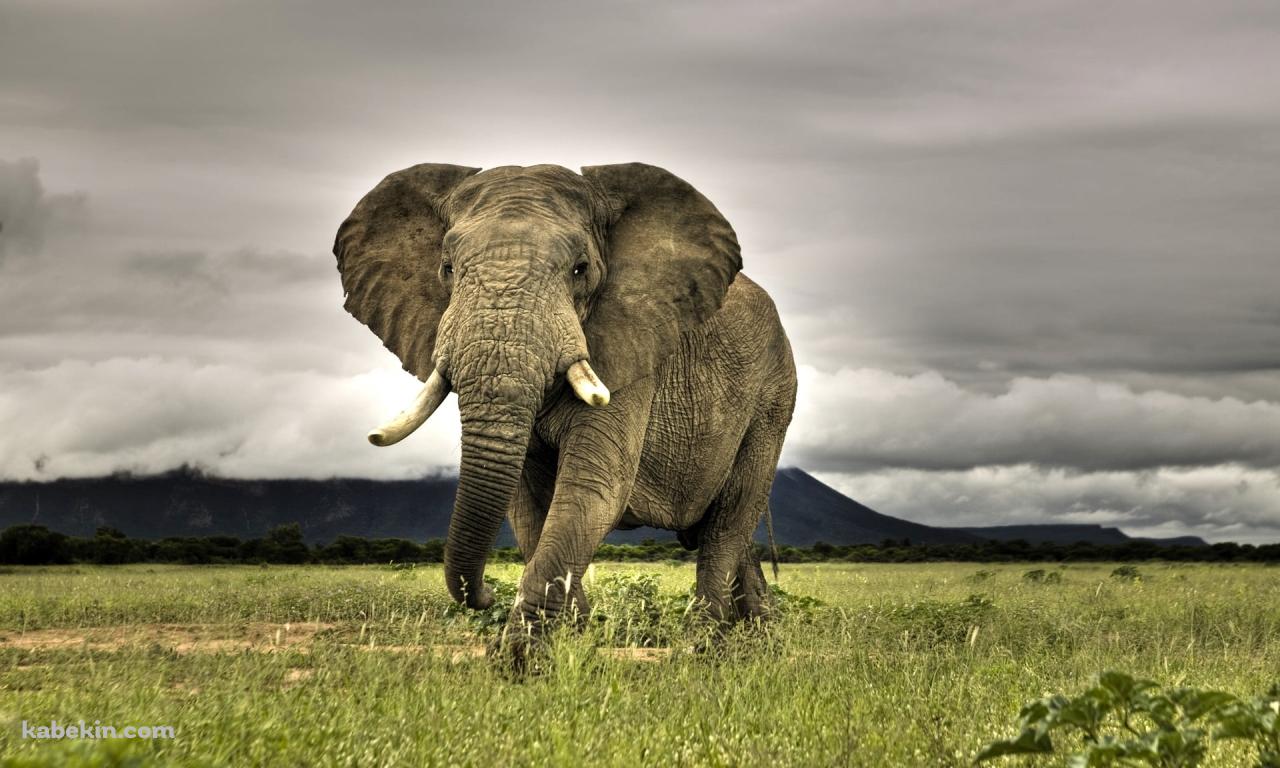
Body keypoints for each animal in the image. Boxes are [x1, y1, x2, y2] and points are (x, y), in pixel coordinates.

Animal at [333, 162, 796, 653]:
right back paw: (758, 637)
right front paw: (572, 638)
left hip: (773, 396)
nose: (485, 593)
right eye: (447, 268)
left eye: (580, 269)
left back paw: (706, 648)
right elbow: (526, 504)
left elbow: (593, 487)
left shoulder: (630, 349)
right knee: (729, 532)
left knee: (729, 521)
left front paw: (521, 658)